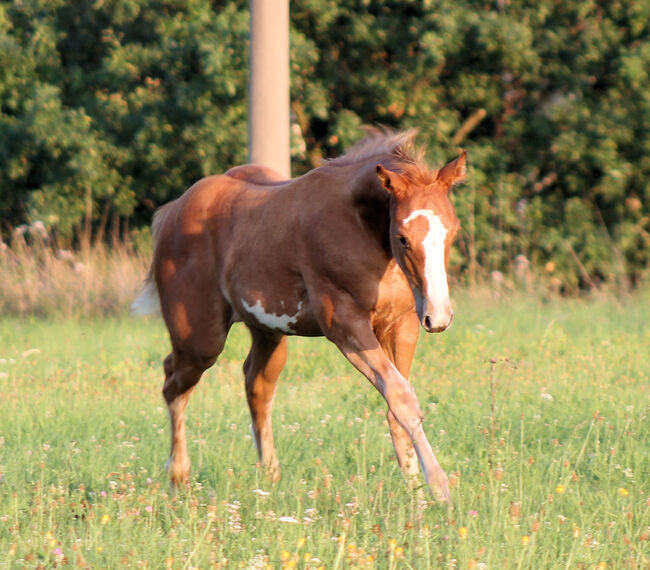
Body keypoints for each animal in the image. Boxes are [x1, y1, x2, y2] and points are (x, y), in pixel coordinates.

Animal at [133, 126, 466, 500]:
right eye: (403, 237)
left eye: (453, 230)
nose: (439, 317)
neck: (359, 226)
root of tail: (173, 211)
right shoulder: (345, 323)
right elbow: (400, 395)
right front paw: (437, 485)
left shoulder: (402, 323)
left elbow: (400, 399)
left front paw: (415, 491)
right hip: (201, 340)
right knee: (174, 382)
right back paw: (178, 477)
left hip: (268, 331)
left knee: (256, 384)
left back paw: (270, 477)